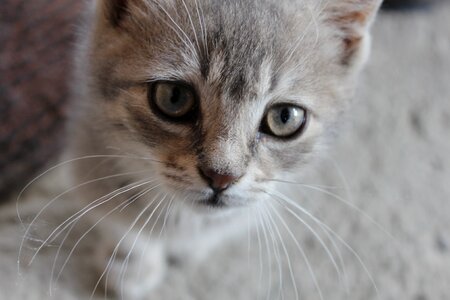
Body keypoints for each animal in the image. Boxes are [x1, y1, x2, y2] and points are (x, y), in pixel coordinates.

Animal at [7, 0, 380, 298]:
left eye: (285, 117)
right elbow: (121, 222)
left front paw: (187, 249)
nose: (222, 176)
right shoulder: (90, 152)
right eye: (173, 97)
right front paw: (132, 263)